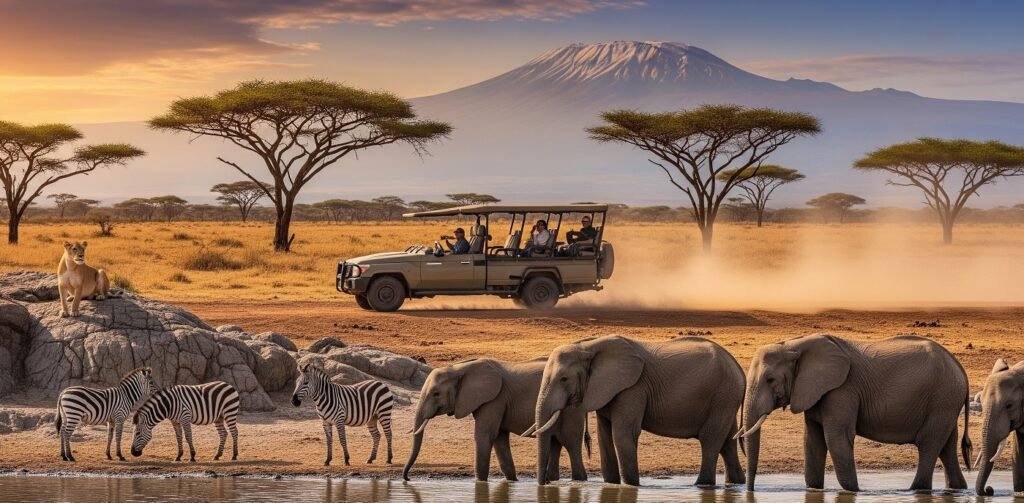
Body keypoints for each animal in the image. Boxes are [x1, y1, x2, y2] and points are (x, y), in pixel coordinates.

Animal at [403, 357, 589, 482]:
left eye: (436, 394)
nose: (407, 478)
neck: (461, 368)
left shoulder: (495, 399)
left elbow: (485, 435)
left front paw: (480, 483)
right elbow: (499, 438)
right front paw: (512, 482)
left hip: (571, 409)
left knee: (571, 443)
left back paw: (579, 480)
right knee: (555, 443)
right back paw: (552, 480)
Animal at [530, 335, 746, 487]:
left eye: (564, 379)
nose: (545, 483)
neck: (589, 346)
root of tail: (738, 367)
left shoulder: (633, 387)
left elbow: (623, 433)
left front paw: (631, 486)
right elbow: (604, 436)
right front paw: (612, 485)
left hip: (723, 394)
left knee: (710, 438)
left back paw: (702, 485)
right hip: (726, 398)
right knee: (727, 441)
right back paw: (736, 483)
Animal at [740, 334, 971, 492]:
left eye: (770, 379)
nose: (751, 490)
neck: (793, 345)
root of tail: (960, 368)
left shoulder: (842, 389)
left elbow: (837, 438)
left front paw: (855, 492)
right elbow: (812, 441)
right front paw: (815, 490)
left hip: (943, 397)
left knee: (928, 444)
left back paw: (915, 490)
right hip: (946, 402)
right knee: (947, 447)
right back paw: (957, 489)